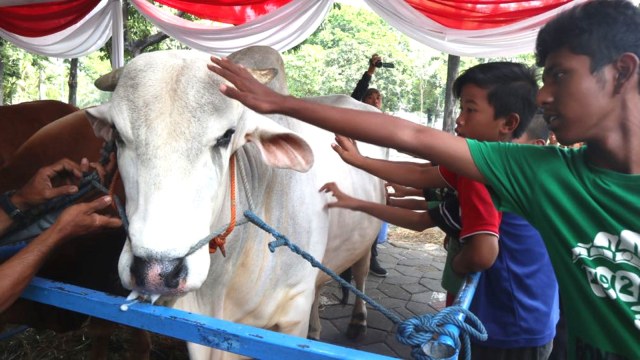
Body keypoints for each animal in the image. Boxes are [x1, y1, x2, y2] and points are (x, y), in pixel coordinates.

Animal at [85, 46, 384, 358]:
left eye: (226, 136)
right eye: (118, 135)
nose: (156, 273)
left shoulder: (293, 313)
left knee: (361, 270)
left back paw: (358, 321)